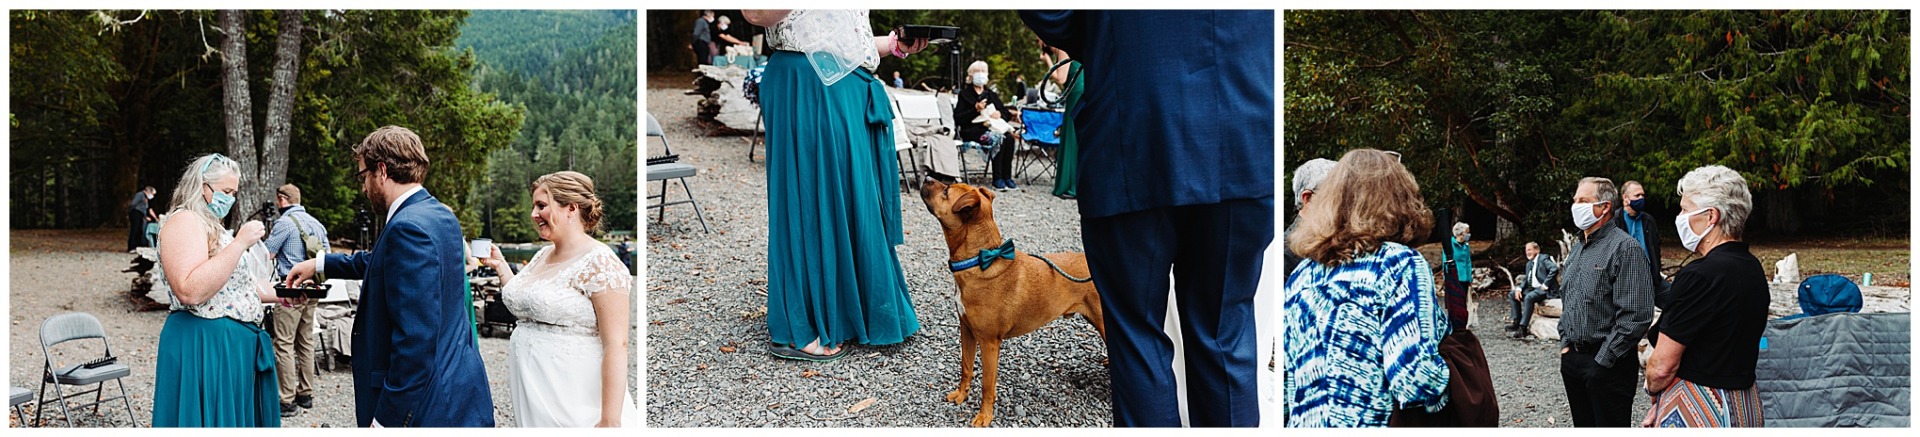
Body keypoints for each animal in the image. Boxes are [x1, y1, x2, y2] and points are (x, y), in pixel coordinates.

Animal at [917, 177, 1105, 427]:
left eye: (946, 190)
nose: (927, 177)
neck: (979, 260)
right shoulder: (966, 330)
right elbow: (966, 367)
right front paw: (961, 395)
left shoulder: (989, 342)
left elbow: (987, 384)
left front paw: (984, 416)